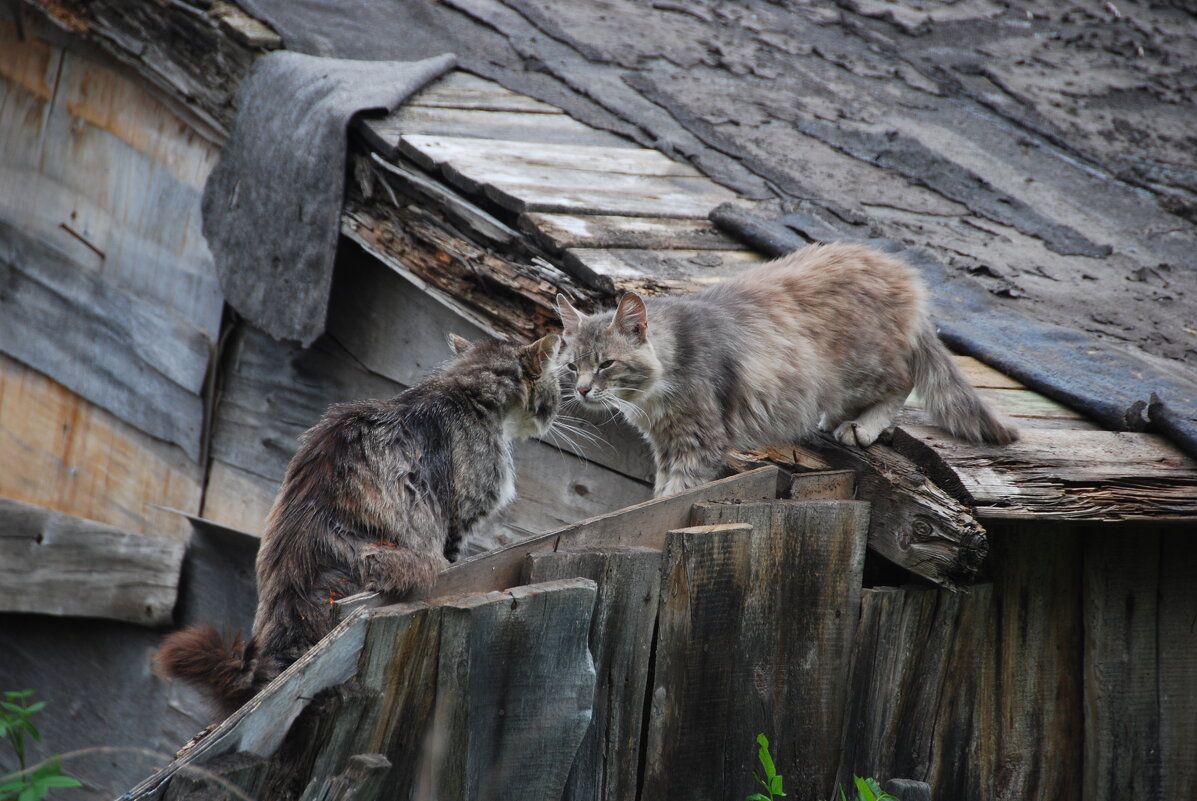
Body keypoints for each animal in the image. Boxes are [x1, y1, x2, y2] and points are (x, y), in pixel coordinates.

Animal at [557, 240, 1019, 495]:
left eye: (606, 364)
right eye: (572, 367)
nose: (582, 390)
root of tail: (899, 270)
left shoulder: (698, 442)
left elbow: (676, 494)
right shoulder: (667, 446)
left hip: (858, 369)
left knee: (902, 380)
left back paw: (862, 427)